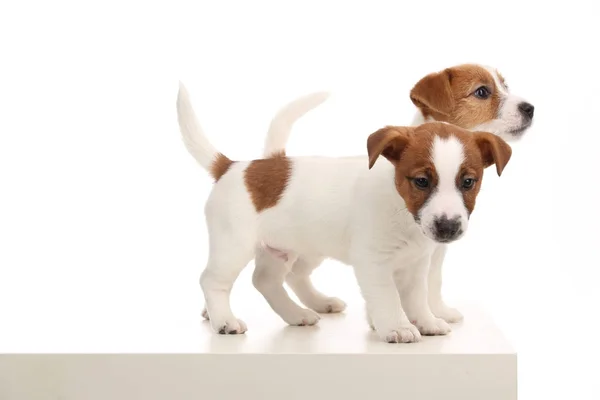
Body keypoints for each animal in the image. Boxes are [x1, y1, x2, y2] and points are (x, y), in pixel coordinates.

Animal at [177, 83, 510, 342]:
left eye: (468, 182)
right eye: (421, 181)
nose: (447, 227)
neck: (401, 210)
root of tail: (232, 166)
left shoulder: (416, 265)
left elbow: (417, 297)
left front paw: (426, 322)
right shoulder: (374, 263)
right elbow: (388, 297)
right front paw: (397, 327)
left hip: (286, 249)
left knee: (268, 281)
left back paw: (299, 312)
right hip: (234, 245)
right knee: (212, 281)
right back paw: (225, 321)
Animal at [258, 63, 536, 324]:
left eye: (505, 86)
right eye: (482, 92)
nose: (530, 108)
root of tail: (277, 161)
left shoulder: (431, 254)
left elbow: (431, 283)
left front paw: (436, 314)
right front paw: (389, 322)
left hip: (308, 247)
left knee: (293, 274)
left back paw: (318, 304)